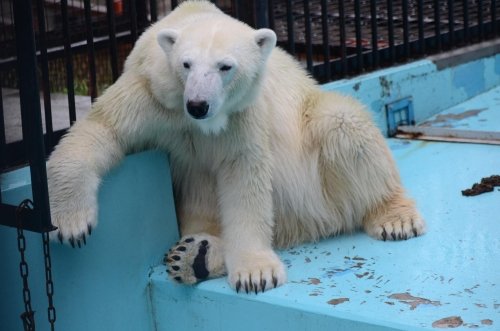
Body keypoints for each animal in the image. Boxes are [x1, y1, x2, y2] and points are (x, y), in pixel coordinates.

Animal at [46, 1, 426, 294]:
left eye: (225, 67)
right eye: (186, 64)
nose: (198, 104)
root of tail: (313, 222)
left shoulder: (242, 116)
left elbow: (244, 177)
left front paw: (256, 274)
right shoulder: (151, 95)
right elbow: (100, 129)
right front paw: (71, 224)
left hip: (313, 166)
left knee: (342, 121)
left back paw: (395, 218)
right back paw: (192, 256)